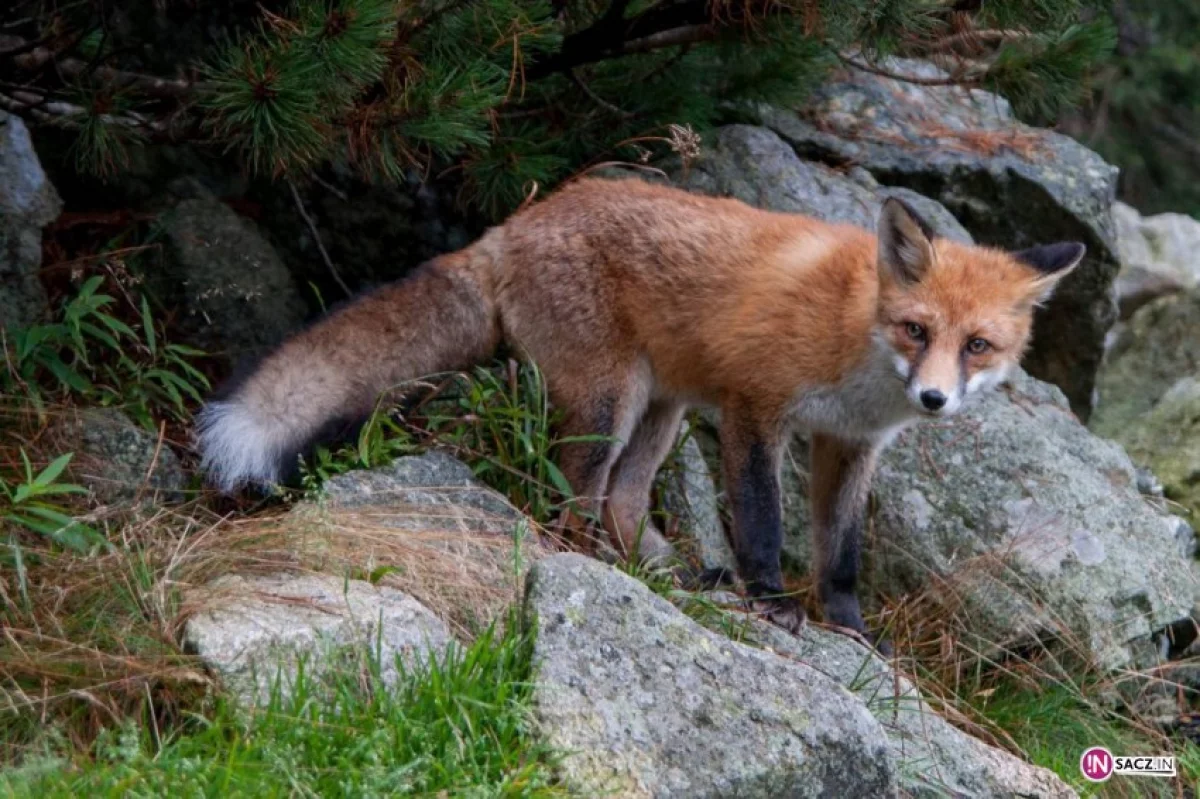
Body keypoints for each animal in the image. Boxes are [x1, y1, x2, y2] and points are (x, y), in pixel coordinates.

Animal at [194, 177, 1080, 643]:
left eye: (978, 345)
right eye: (917, 329)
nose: (932, 397)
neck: (854, 336)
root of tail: (514, 224)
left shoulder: (850, 444)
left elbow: (842, 551)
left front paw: (847, 623)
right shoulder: (754, 409)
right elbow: (763, 519)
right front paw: (771, 598)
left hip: (663, 410)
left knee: (621, 501)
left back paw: (664, 570)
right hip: (610, 401)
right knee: (570, 497)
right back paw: (598, 566)